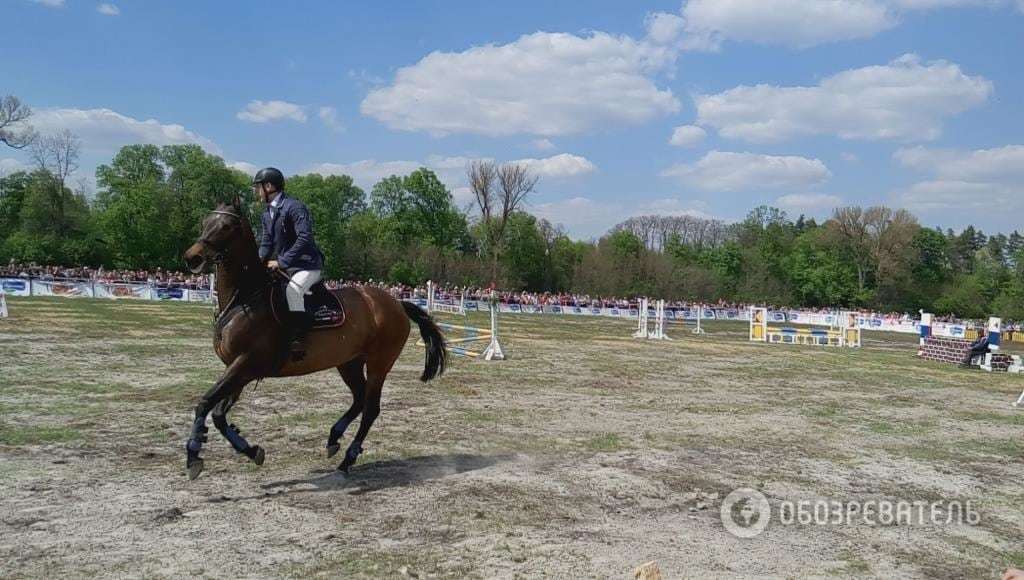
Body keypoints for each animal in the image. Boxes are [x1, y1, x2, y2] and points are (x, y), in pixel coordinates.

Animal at [182, 199, 446, 481]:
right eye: (205, 222)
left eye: (227, 226)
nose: (192, 257)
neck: (245, 298)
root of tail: (396, 302)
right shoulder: (238, 369)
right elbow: (218, 414)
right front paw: (251, 451)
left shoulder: (245, 364)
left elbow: (205, 403)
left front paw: (194, 454)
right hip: (349, 362)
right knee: (359, 398)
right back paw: (333, 438)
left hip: (379, 364)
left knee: (370, 408)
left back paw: (348, 459)